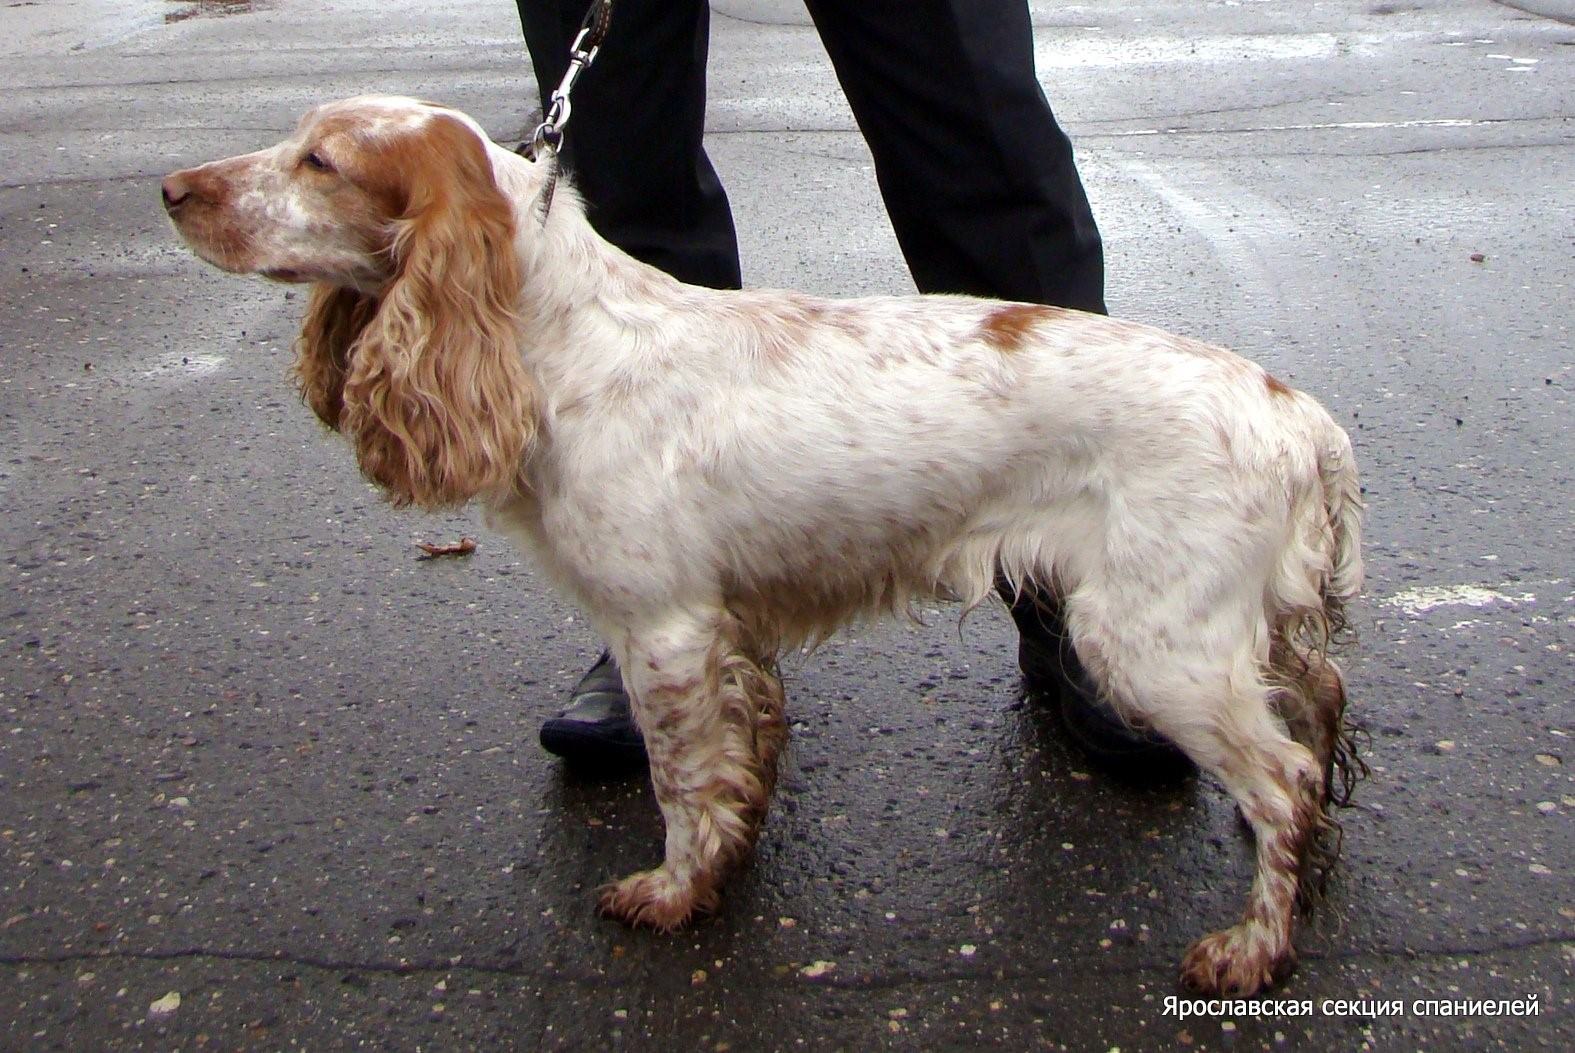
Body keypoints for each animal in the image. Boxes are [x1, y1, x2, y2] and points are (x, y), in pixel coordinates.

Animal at [163, 96, 1367, 994]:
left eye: (319, 160)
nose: (174, 190)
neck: (558, 336)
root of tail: (1296, 412)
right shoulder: (722, 632)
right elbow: (733, 764)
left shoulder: (664, 629)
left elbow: (680, 781)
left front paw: (670, 893)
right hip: (1249, 629)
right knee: (1318, 726)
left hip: (1154, 640)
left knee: (1282, 776)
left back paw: (1251, 947)